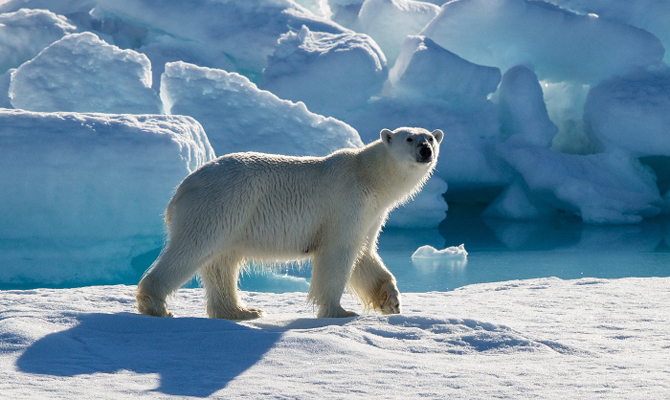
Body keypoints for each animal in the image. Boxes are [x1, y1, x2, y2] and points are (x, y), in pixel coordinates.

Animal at [136, 126, 444, 320]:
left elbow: (365, 254)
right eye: (409, 138)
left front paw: (391, 301)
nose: (425, 150)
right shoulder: (345, 202)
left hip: (231, 218)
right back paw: (155, 305)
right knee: (192, 249)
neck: (368, 176)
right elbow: (338, 253)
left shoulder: (371, 214)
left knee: (221, 262)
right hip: (219, 205)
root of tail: (182, 187)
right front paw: (339, 312)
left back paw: (242, 311)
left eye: (430, 137)